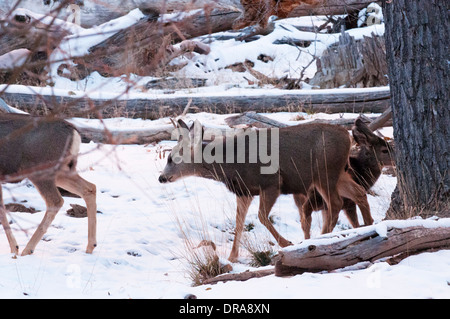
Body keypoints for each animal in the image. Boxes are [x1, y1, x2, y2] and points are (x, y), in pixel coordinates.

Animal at [0, 114, 96, 256]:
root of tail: (73, 131)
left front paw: (15, 249)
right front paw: (14, 248)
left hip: (41, 170)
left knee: (55, 201)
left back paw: (27, 249)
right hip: (63, 170)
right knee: (90, 188)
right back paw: (90, 246)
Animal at [160, 120, 370, 262]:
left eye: (171, 158)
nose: (161, 177)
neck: (229, 164)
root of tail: (347, 136)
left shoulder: (271, 182)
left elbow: (261, 216)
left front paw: (287, 243)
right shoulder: (244, 191)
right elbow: (239, 222)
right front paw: (232, 256)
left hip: (325, 171)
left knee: (335, 203)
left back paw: (320, 239)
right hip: (338, 173)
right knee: (359, 192)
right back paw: (368, 226)